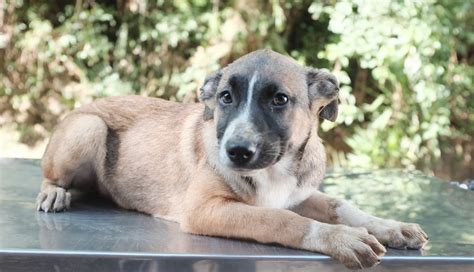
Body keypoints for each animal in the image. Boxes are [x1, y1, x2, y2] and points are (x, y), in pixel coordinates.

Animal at [38, 50, 430, 268]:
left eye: (279, 100)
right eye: (225, 97)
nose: (236, 152)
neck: (275, 168)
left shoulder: (296, 194)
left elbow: (340, 204)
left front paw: (391, 226)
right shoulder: (205, 209)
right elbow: (279, 220)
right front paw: (340, 238)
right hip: (87, 127)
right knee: (53, 175)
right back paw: (55, 192)